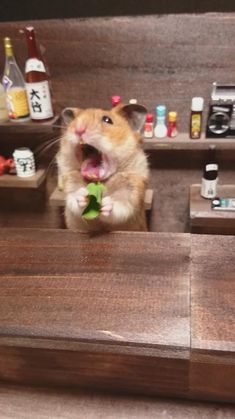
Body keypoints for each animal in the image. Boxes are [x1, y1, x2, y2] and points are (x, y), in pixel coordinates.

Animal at [57, 102, 149, 233]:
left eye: (107, 120)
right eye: (74, 121)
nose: (78, 129)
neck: (100, 181)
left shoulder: (132, 189)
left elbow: (121, 206)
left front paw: (106, 204)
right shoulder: (70, 181)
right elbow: (73, 199)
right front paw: (82, 195)